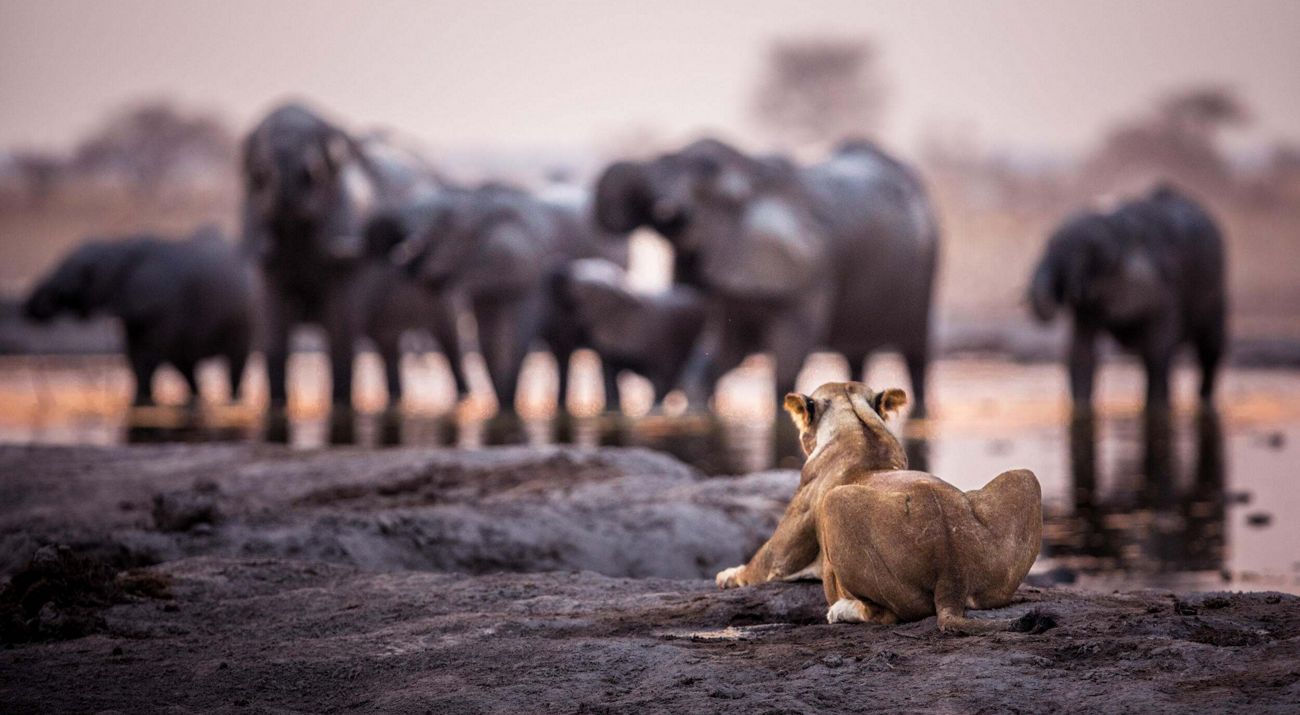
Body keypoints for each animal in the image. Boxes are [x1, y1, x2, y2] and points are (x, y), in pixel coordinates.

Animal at [23, 227, 253, 406]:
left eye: (77, 273)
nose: (32, 310)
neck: (117, 249)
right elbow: (135, 355)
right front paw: (140, 401)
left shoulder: (161, 306)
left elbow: (148, 355)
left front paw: (142, 401)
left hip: (243, 321)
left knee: (233, 362)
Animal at [241, 103, 465, 417]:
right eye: (258, 174)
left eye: (325, 168)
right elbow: (271, 324)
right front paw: (277, 407)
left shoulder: (349, 228)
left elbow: (340, 327)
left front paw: (340, 406)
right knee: (388, 345)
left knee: (449, 340)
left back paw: (463, 400)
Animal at [593, 138, 940, 416]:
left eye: (703, 189)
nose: (667, 209)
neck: (749, 176)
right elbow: (721, 353)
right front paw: (695, 412)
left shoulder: (808, 277)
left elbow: (787, 360)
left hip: (929, 263)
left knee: (916, 351)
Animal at [715, 381, 1051, 634]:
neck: (859, 426)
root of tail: (952, 572)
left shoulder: (785, 546)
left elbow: (760, 563)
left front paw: (727, 575)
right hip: (1025, 478)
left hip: (835, 503)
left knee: (884, 614)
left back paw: (840, 610)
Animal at [1028, 184, 1226, 411]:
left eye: (1095, 253)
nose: (1067, 293)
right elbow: (1081, 351)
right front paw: (1081, 409)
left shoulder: (1167, 286)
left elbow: (1158, 349)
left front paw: (1158, 408)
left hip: (1217, 290)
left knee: (1210, 347)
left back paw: (1205, 399)